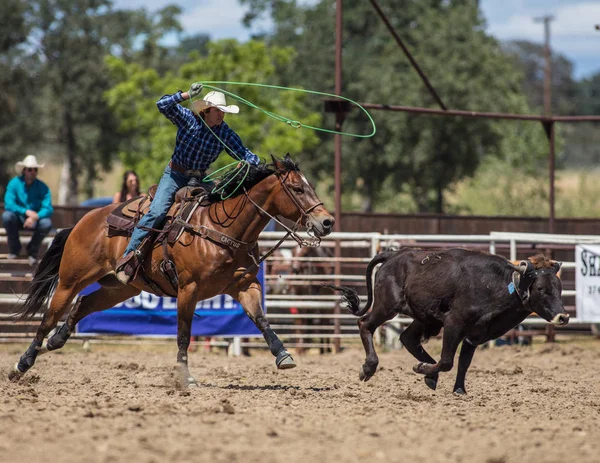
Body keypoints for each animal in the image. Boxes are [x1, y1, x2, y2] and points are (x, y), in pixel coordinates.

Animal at [9, 156, 336, 388]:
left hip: (120, 287)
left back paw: (55, 342)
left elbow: (261, 319)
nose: (327, 222)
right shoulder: (188, 290)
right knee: (49, 318)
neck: (220, 228)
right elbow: (183, 334)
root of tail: (82, 221)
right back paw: (21, 364)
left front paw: (283, 355)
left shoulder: (244, 285)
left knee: (83, 305)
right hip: (70, 279)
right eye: (298, 189)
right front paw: (184, 376)